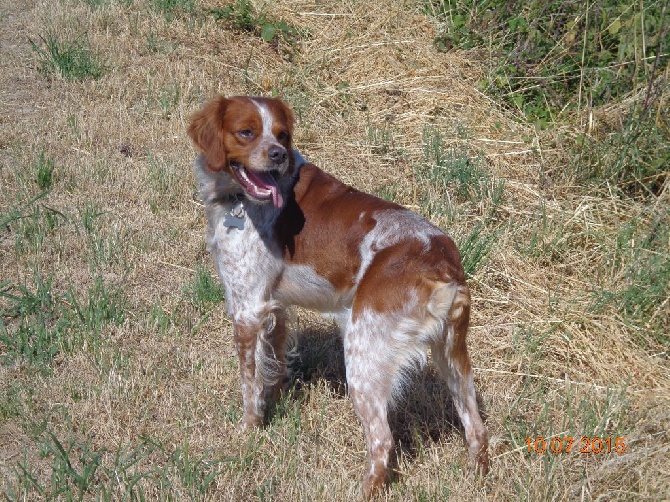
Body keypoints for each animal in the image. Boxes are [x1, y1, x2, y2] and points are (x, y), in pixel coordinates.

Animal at [186, 96, 490, 496]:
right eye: (247, 132)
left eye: (281, 135)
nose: (277, 154)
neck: (239, 199)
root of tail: (441, 263)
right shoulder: (275, 306)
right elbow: (275, 366)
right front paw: (277, 405)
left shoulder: (248, 309)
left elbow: (250, 383)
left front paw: (248, 433)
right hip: (453, 357)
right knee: (477, 427)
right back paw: (477, 477)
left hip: (363, 354)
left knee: (382, 439)